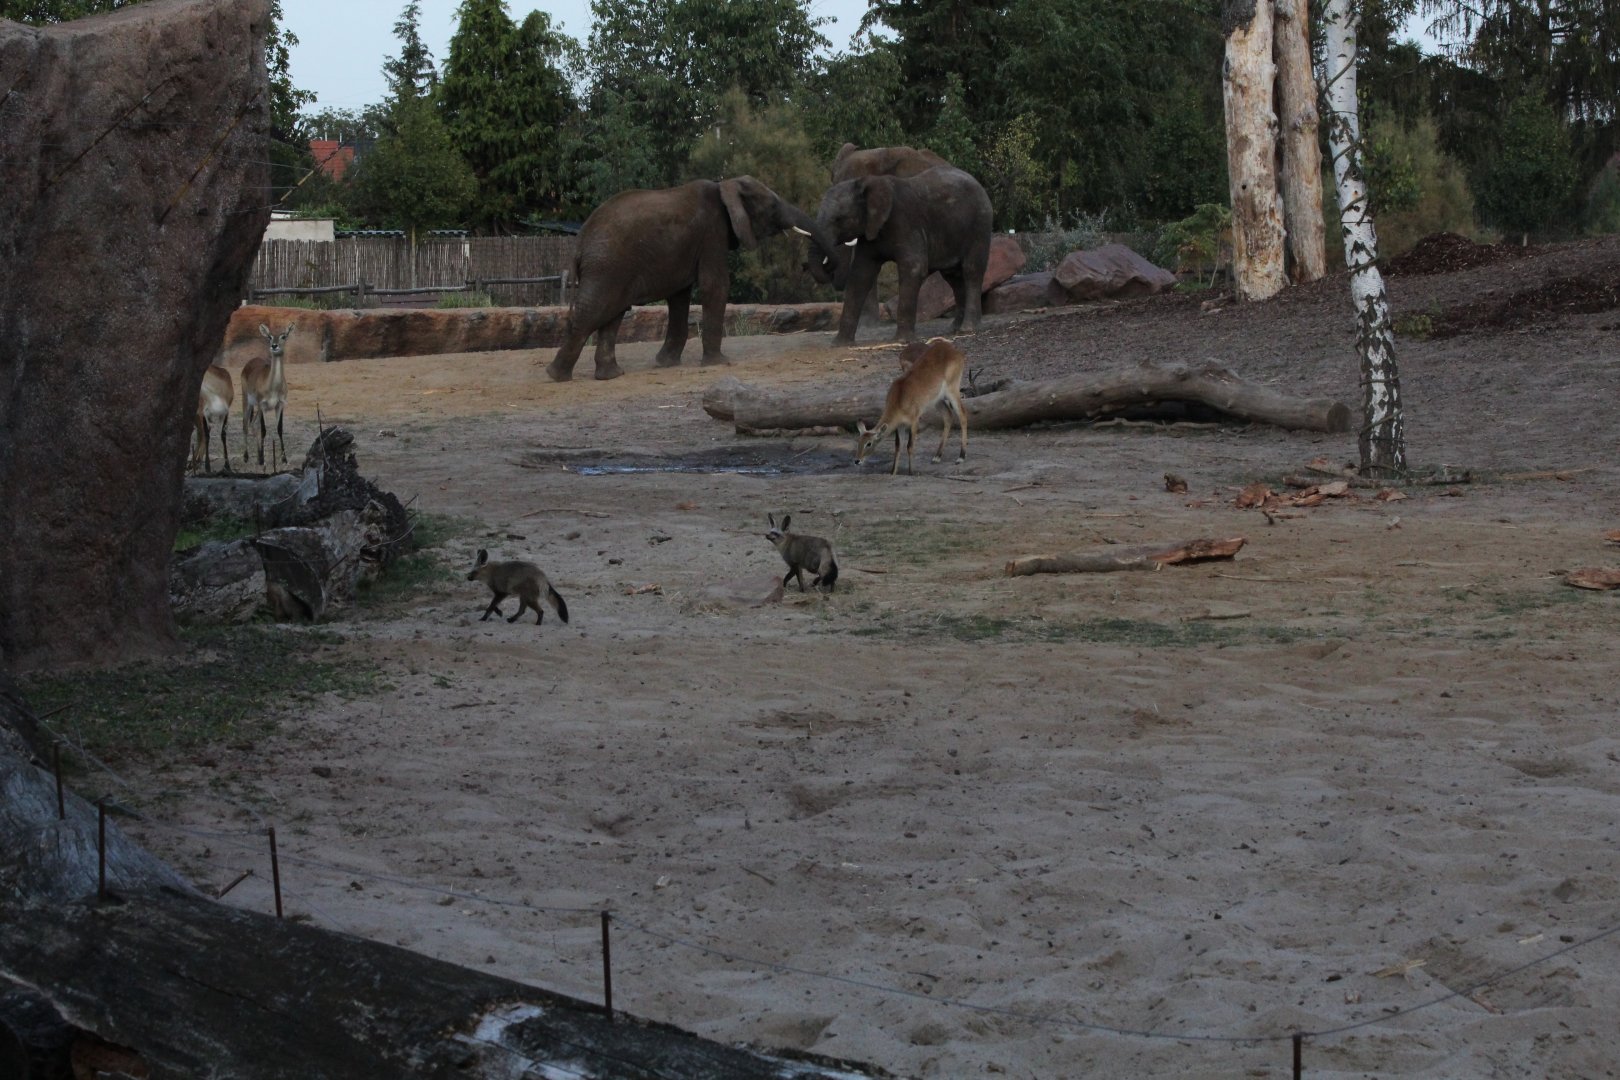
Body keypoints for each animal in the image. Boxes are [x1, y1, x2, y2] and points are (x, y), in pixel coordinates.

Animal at [545, 176, 832, 381]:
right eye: (772, 207)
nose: (808, 266)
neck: (725, 185)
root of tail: (579, 242)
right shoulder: (712, 233)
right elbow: (715, 286)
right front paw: (719, 363)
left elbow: (680, 295)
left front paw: (666, 363)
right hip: (607, 266)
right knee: (592, 313)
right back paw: (557, 376)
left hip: (610, 270)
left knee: (612, 315)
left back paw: (610, 375)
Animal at [808, 165, 993, 346]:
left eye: (840, 219)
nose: (828, 266)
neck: (868, 182)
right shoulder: (870, 232)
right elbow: (860, 275)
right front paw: (840, 344)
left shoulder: (906, 222)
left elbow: (914, 268)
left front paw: (903, 341)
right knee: (953, 277)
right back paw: (955, 329)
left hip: (980, 224)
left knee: (971, 271)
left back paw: (968, 328)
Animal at [856, 336, 968, 475]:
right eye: (859, 441)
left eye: (869, 443)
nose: (857, 460)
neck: (899, 399)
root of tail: (955, 351)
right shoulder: (900, 425)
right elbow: (898, 447)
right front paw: (893, 472)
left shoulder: (914, 421)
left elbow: (909, 446)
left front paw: (911, 472)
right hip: (937, 400)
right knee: (948, 416)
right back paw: (937, 457)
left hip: (952, 390)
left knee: (962, 415)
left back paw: (961, 457)